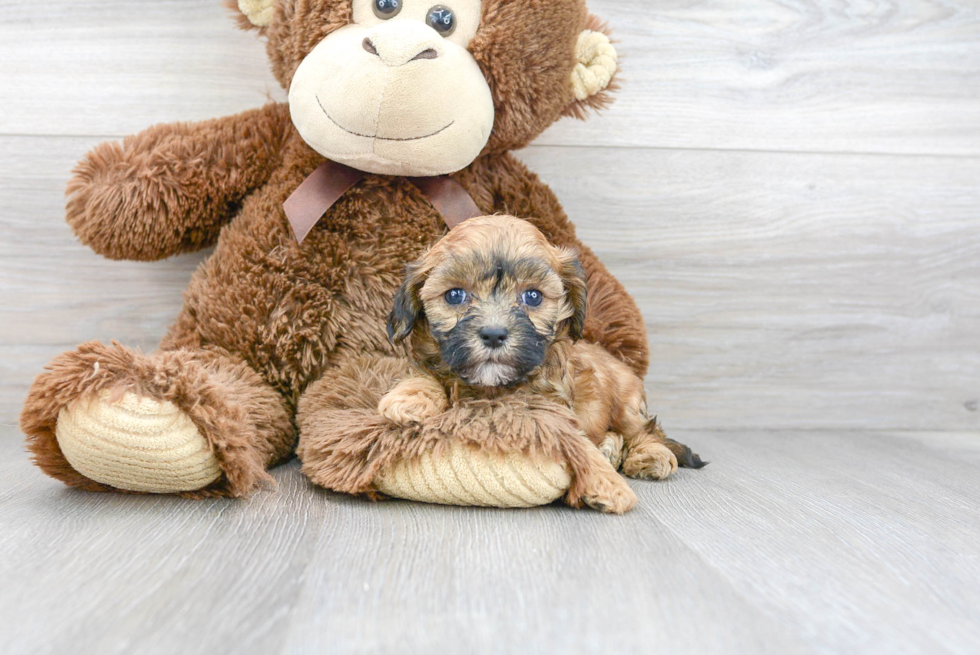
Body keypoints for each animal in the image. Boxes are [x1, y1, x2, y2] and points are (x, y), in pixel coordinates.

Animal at [378, 215, 704, 512]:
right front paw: (408, 400)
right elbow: (424, 376)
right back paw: (611, 449)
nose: (493, 334)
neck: (490, 388)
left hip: (627, 403)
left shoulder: (551, 410)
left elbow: (577, 441)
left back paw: (650, 456)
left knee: (646, 430)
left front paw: (608, 484)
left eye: (533, 296)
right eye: (455, 295)